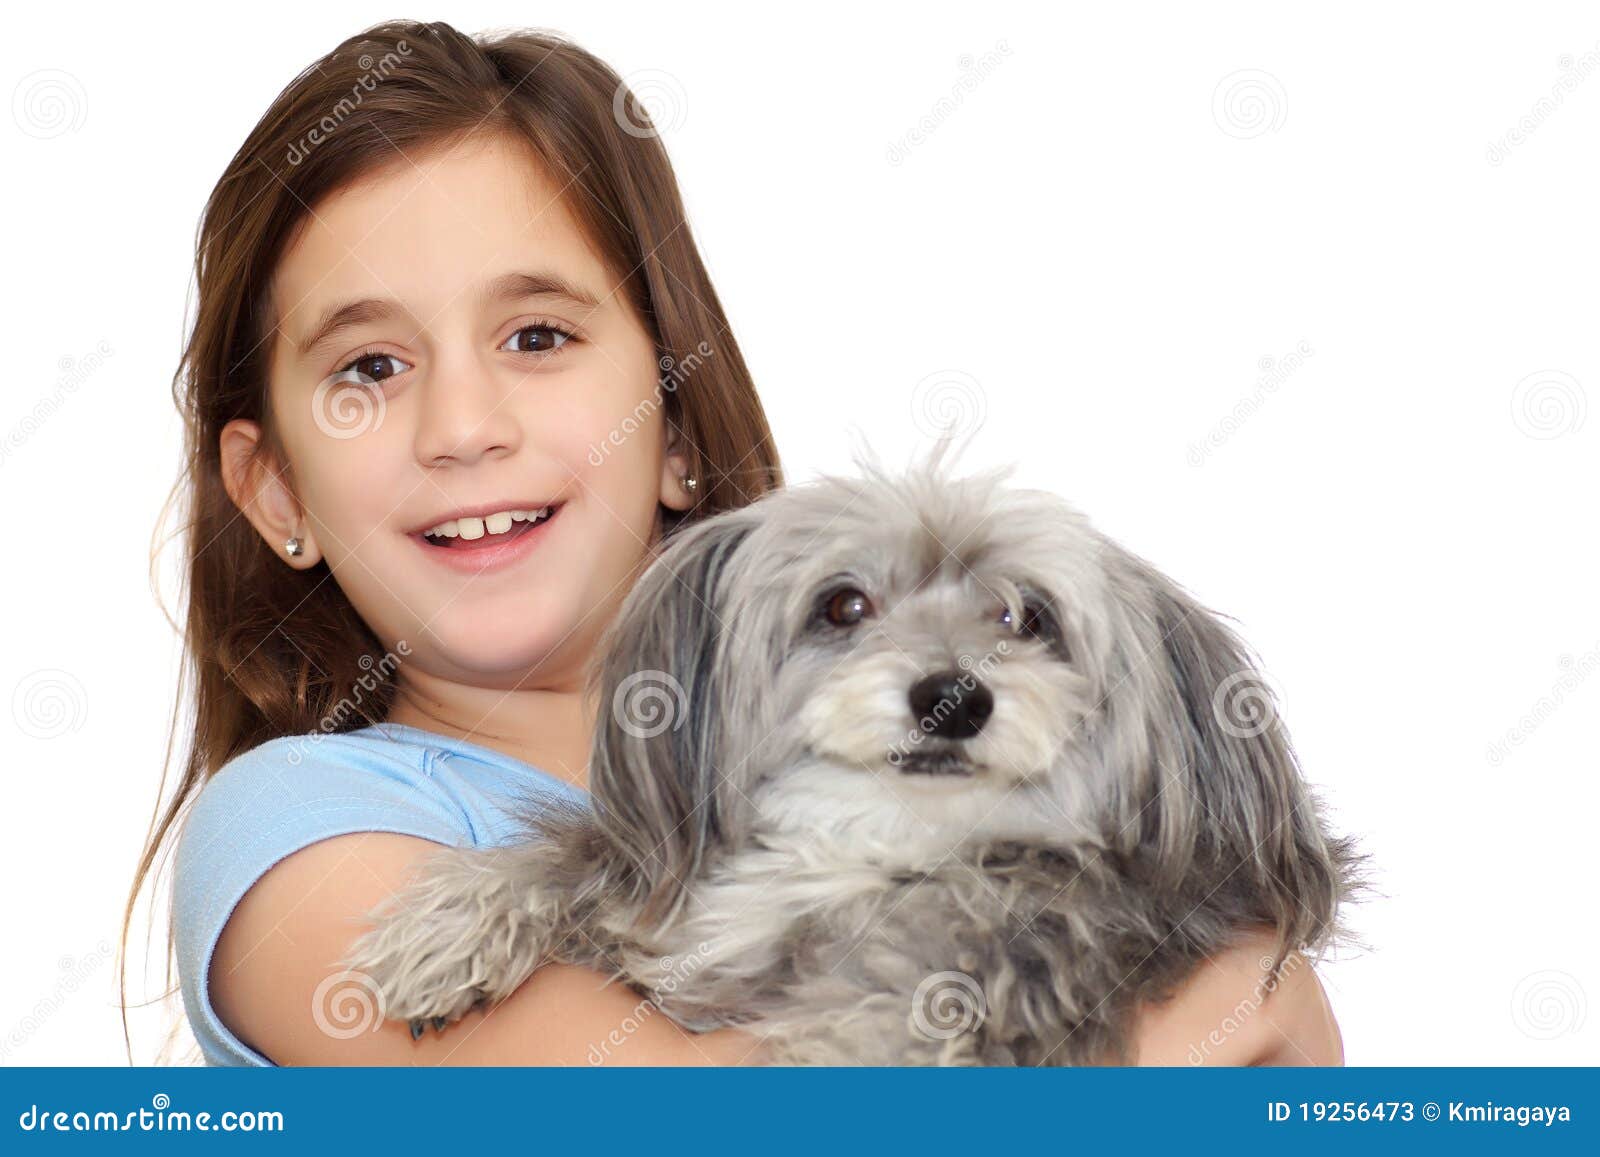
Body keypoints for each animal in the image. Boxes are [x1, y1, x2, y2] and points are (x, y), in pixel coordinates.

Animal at [337, 451, 1363, 1068]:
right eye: (843, 605)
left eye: (1026, 616)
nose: (954, 696)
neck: (871, 845)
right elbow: (587, 852)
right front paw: (454, 925)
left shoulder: (1055, 936)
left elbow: (928, 985)